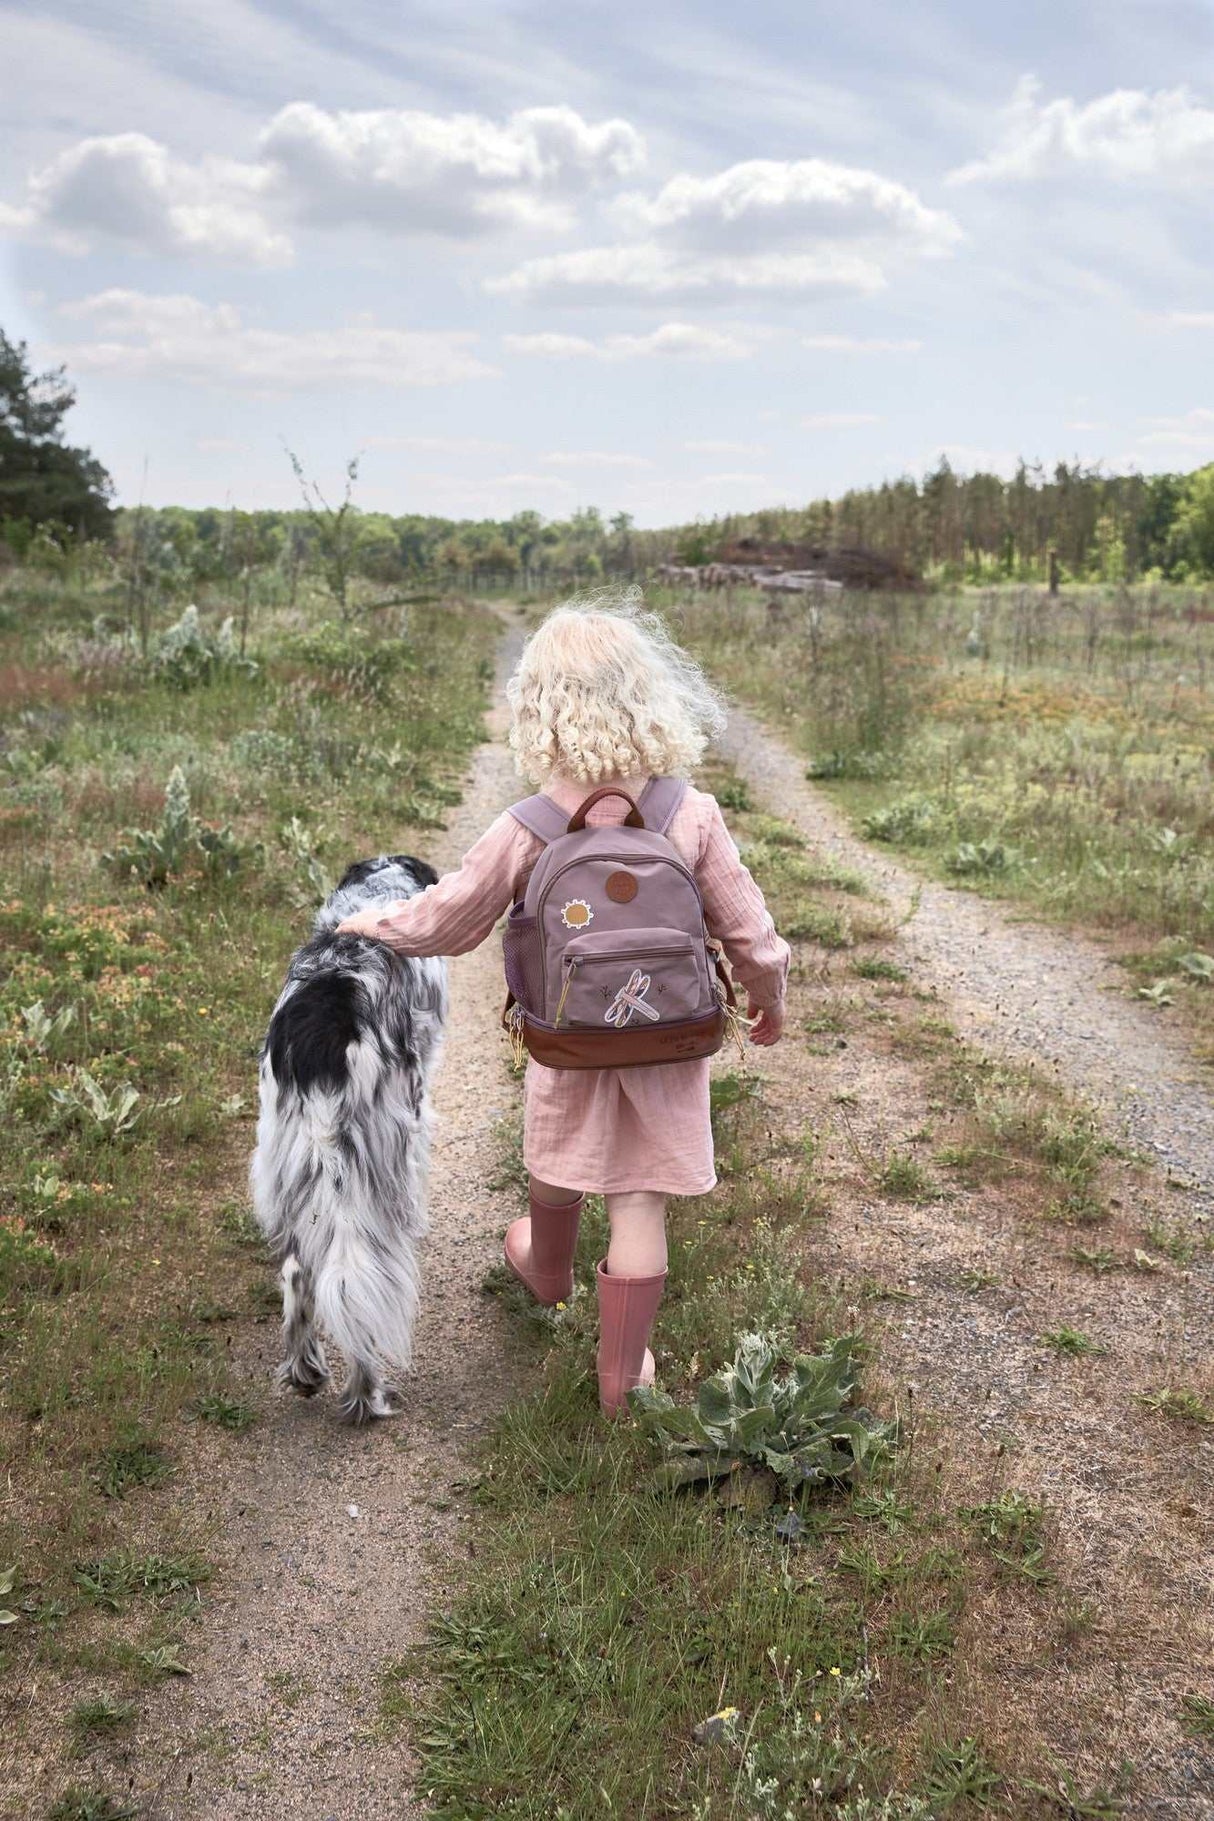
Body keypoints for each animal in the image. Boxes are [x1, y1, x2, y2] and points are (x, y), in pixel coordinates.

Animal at [251, 859, 445, 1427]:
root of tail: (321, 1039)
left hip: (288, 1159)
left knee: (298, 1273)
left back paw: (305, 1371)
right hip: (372, 1160)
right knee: (358, 1285)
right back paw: (366, 1394)